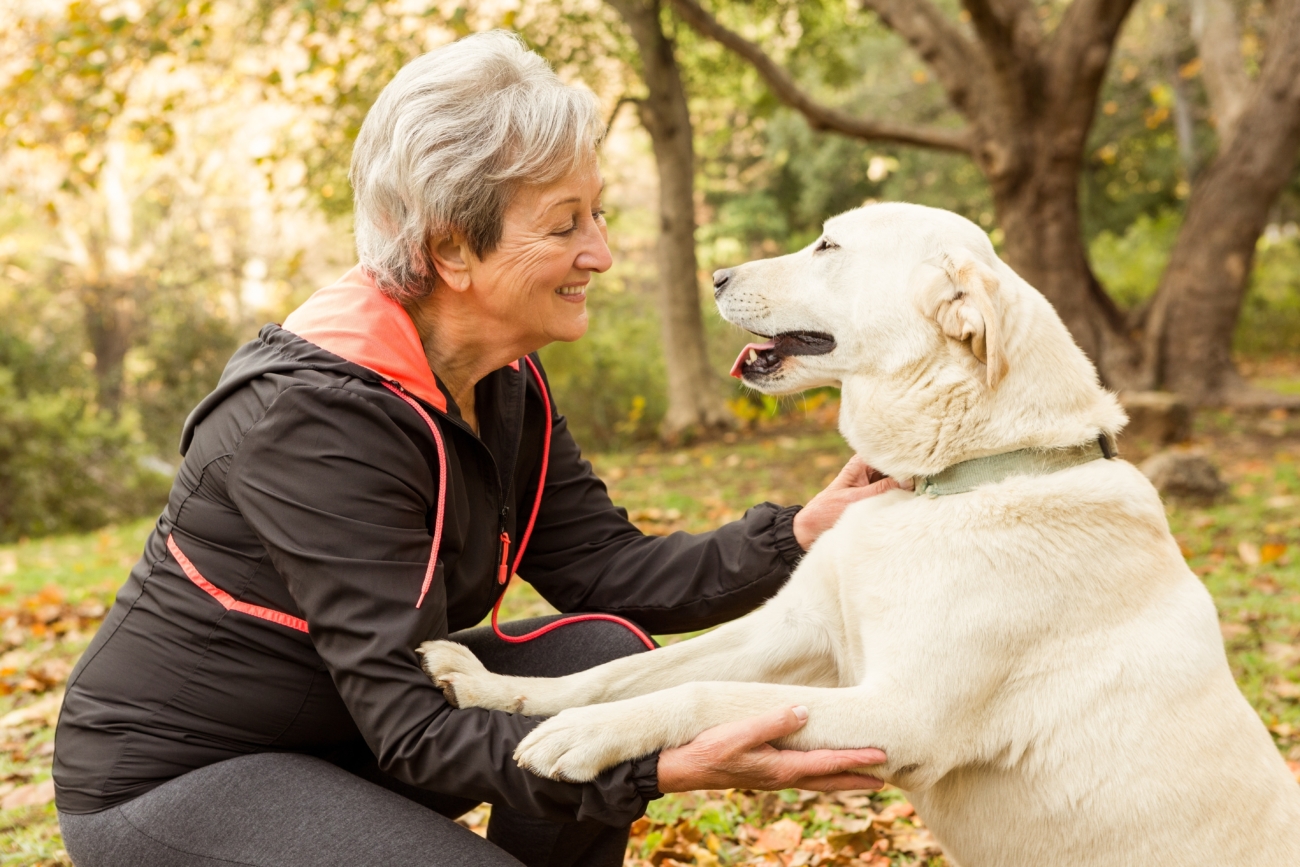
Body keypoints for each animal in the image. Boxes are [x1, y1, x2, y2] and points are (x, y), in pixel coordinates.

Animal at [418, 205, 1300, 867]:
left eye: (829, 246)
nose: (716, 276)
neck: (946, 482)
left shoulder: (894, 710)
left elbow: (698, 694)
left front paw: (586, 737)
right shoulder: (790, 632)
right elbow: (622, 673)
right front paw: (502, 692)